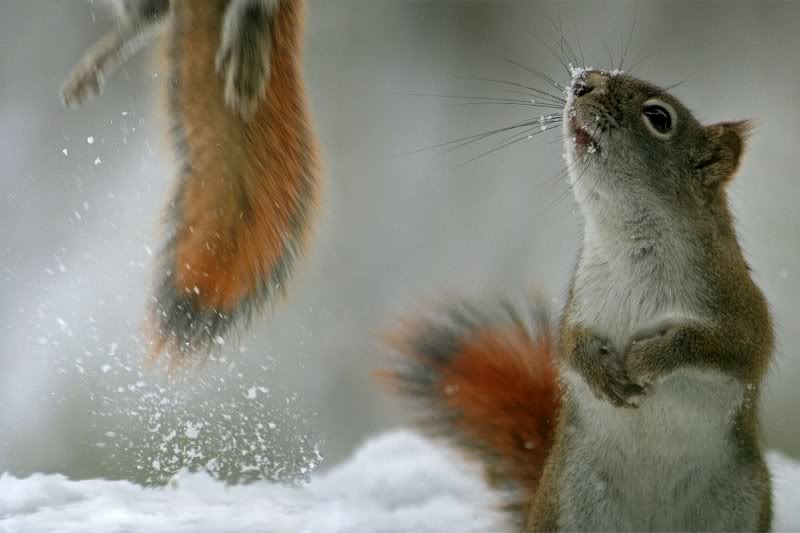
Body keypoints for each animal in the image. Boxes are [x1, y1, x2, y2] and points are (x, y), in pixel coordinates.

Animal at [386, 68, 774, 531]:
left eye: (660, 118)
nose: (582, 81)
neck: (627, 243)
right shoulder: (579, 303)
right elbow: (568, 346)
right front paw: (598, 370)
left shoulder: (738, 308)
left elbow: (724, 346)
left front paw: (648, 359)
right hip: (572, 505)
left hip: (737, 506)